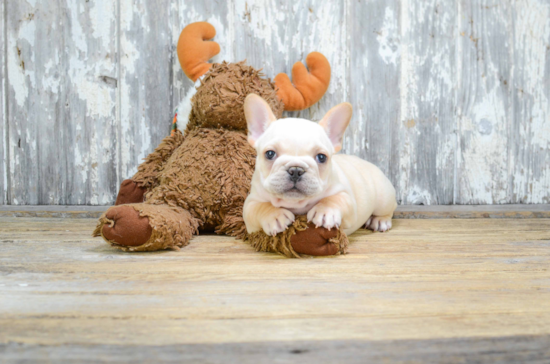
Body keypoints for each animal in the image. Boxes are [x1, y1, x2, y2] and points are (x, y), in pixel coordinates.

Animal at [245, 93, 396, 236]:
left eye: (321, 157)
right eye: (270, 154)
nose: (296, 170)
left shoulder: (346, 196)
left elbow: (334, 199)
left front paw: (325, 211)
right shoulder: (250, 203)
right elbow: (259, 208)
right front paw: (275, 216)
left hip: (384, 197)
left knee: (388, 209)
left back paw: (379, 221)